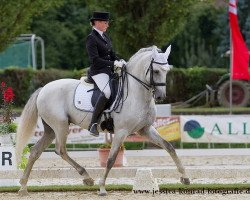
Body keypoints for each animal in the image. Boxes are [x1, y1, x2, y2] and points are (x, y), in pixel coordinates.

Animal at [15, 45, 189, 195]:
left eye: (167, 71)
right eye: (156, 70)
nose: (160, 96)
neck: (137, 94)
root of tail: (43, 89)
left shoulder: (145, 129)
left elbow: (169, 147)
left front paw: (185, 177)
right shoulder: (121, 132)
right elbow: (111, 159)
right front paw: (102, 187)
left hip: (51, 130)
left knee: (35, 151)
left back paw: (23, 186)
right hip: (60, 126)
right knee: (61, 150)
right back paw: (87, 177)